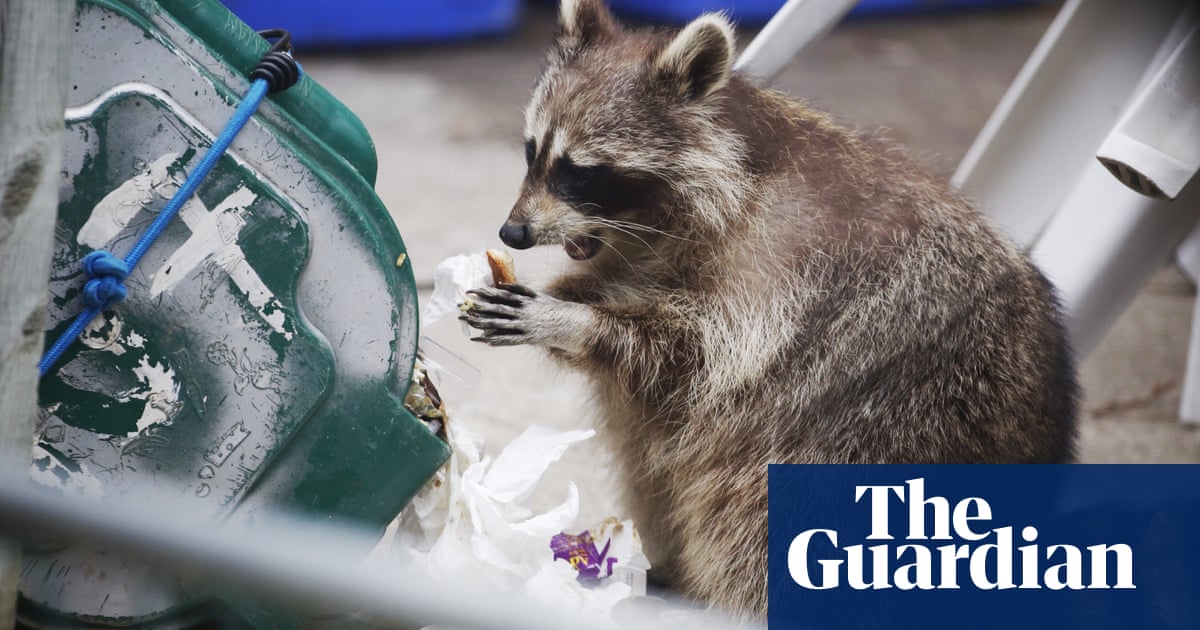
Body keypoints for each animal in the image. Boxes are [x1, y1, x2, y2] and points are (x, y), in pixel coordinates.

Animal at [458, 0, 1080, 614]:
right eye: (532, 152)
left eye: (581, 171)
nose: (513, 232)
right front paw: (565, 298)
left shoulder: (788, 268)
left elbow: (695, 360)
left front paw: (573, 322)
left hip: (879, 435)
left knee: (752, 513)